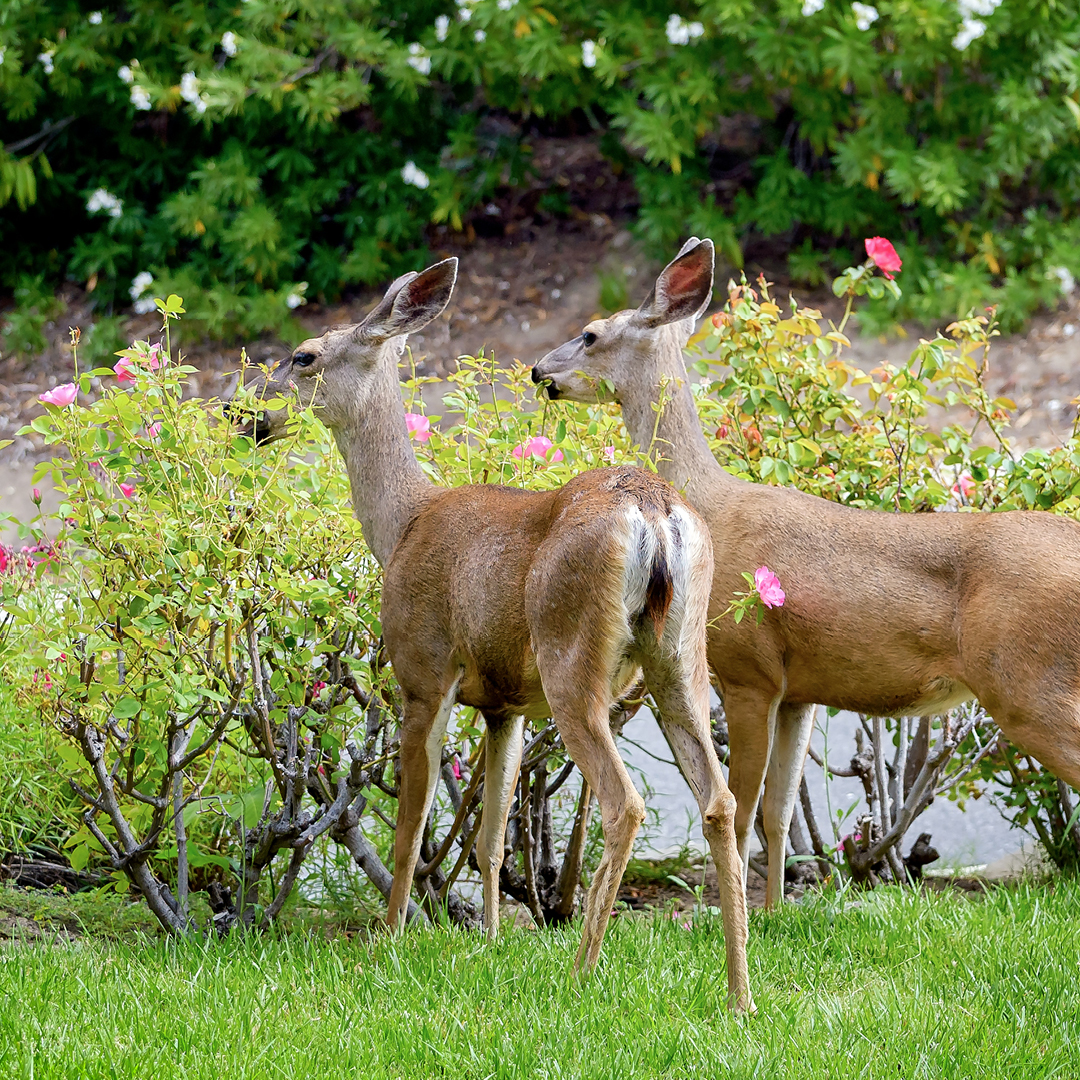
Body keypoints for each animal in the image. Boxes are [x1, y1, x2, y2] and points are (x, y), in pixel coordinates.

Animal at [235, 257, 753, 1011]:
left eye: (302, 356)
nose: (248, 418)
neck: (402, 526)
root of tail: (654, 513)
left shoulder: (423, 671)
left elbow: (410, 828)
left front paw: (390, 939)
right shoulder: (506, 705)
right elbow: (489, 838)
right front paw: (489, 941)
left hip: (572, 657)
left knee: (622, 803)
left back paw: (583, 973)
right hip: (679, 659)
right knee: (718, 800)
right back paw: (740, 994)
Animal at [532, 236, 1080, 909]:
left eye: (589, 334)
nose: (540, 371)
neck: (712, 505)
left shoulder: (749, 670)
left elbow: (741, 812)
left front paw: (732, 912)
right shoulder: (801, 691)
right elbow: (776, 812)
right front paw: (773, 914)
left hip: (1030, 682)